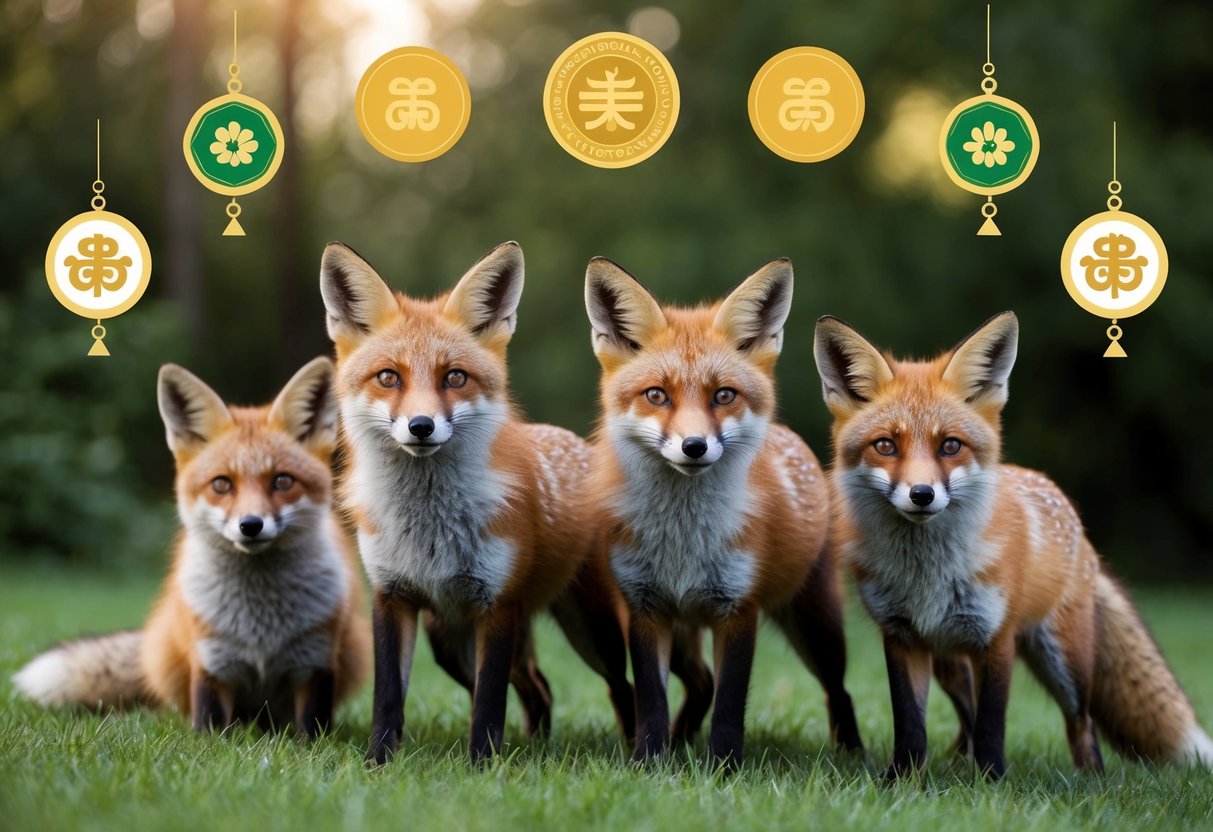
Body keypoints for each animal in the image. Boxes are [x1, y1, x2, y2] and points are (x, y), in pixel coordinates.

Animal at [13, 358, 370, 736]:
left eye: (282, 481)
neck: (261, 622)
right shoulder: (211, 661)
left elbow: (312, 732)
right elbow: (209, 730)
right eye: (222, 484)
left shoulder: (317, 661)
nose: (251, 525)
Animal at [319, 240, 710, 764]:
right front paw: (378, 764)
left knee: (630, 688)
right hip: (449, 639)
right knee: (540, 687)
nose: (421, 426)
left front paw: (481, 767)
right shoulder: (391, 597)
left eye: (455, 377)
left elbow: (488, 703)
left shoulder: (497, 604)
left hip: (596, 631)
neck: (429, 525)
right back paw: (538, 744)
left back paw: (641, 750)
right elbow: (388, 699)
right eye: (388, 377)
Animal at [584, 256, 863, 767]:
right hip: (683, 634)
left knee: (839, 691)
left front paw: (723, 769)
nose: (694, 446)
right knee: (700, 684)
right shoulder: (645, 609)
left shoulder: (737, 608)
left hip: (817, 626)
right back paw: (678, 741)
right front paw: (649, 763)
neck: (683, 540)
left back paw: (852, 753)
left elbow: (731, 703)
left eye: (724, 395)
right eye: (657, 395)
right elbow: (652, 701)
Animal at [813, 311, 1213, 778]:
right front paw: (901, 781)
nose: (922, 495)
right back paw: (956, 762)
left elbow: (992, 724)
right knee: (966, 714)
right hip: (950, 661)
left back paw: (1091, 779)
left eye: (950, 445)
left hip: (1064, 660)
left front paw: (990, 782)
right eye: (885, 446)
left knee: (1081, 723)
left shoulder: (995, 637)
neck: (928, 574)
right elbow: (911, 724)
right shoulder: (901, 636)